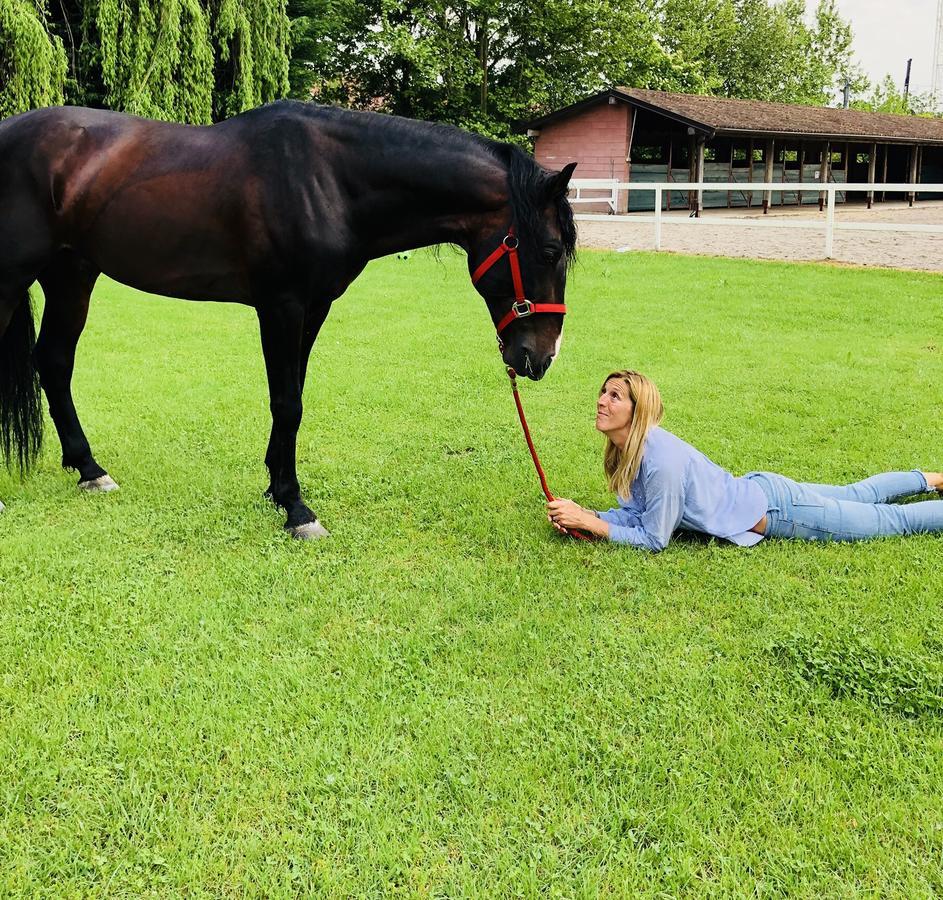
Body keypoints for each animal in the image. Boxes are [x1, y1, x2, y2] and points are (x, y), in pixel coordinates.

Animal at [0, 100, 580, 536]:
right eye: (551, 251)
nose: (542, 356)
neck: (329, 179)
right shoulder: (281, 305)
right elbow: (287, 401)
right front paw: (297, 508)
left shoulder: (314, 307)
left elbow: (293, 396)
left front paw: (277, 489)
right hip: (15, 275)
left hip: (72, 274)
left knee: (54, 362)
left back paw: (89, 469)